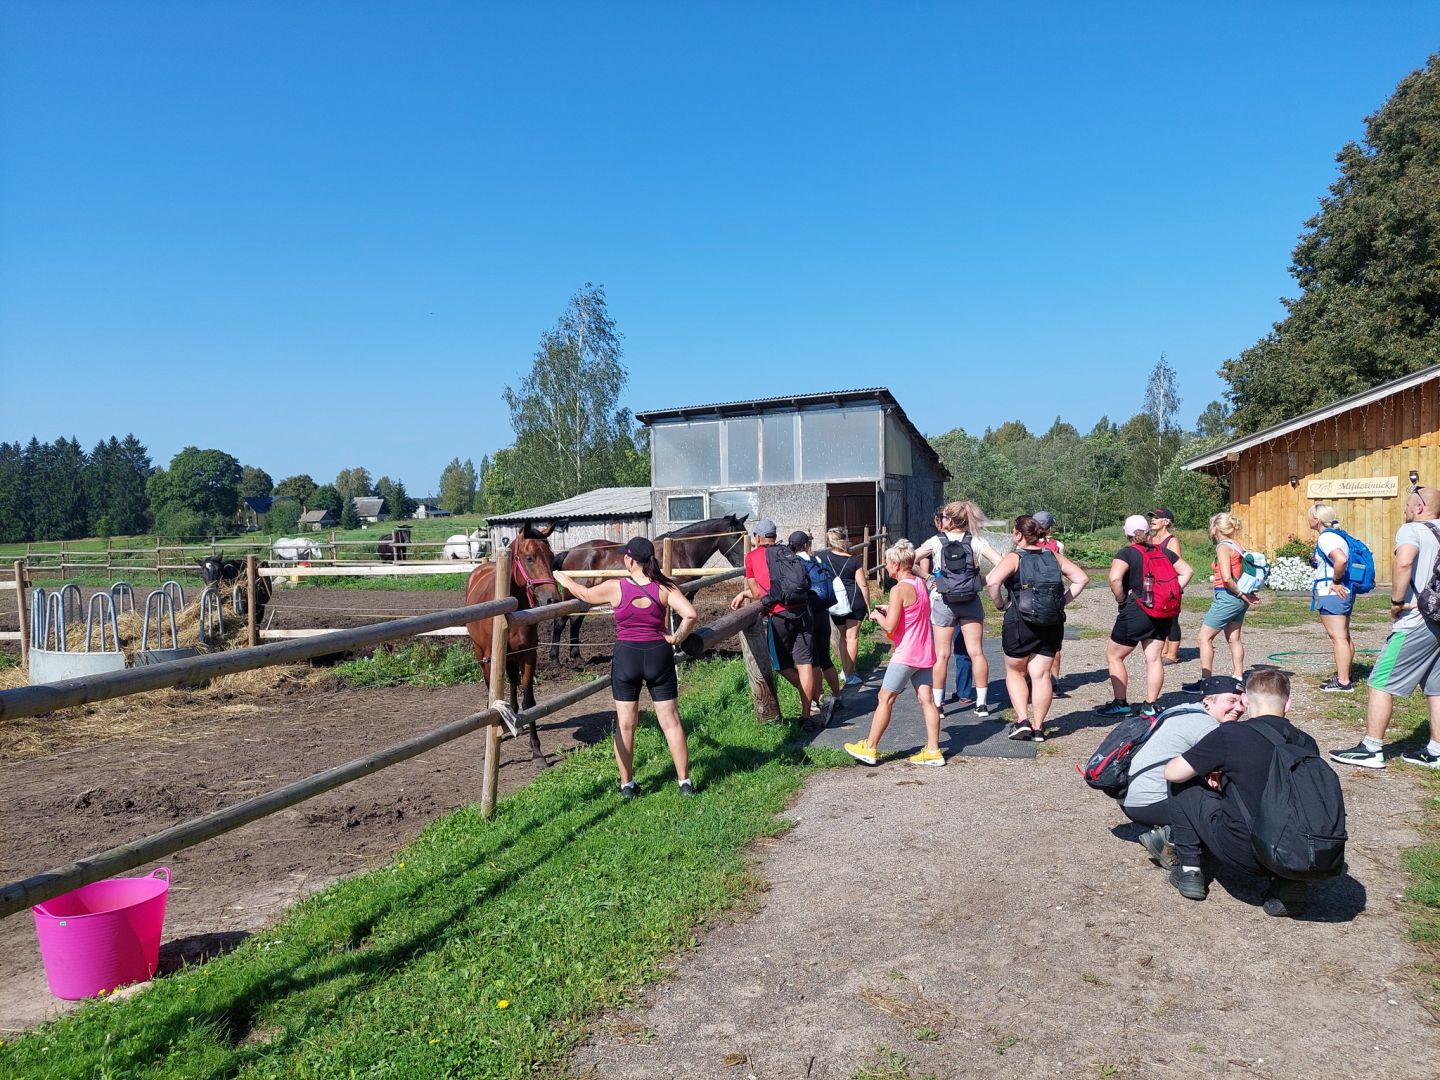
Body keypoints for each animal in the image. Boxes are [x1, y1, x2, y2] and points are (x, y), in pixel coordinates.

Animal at [464, 522, 563, 761]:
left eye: (551, 557)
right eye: (529, 558)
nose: (552, 599)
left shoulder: (528, 654)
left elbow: (529, 700)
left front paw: (537, 751)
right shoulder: (492, 658)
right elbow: (492, 696)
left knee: (511, 681)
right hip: (481, 654)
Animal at [548, 514, 749, 663]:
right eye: (734, 535)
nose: (743, 564)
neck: (681, 549)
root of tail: (571, 552)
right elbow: (675, 619)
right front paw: (676, 650)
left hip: (585, 598)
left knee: (575, 623)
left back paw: (577, 657)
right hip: (571, 596)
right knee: (560, 623)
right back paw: (555, 659)